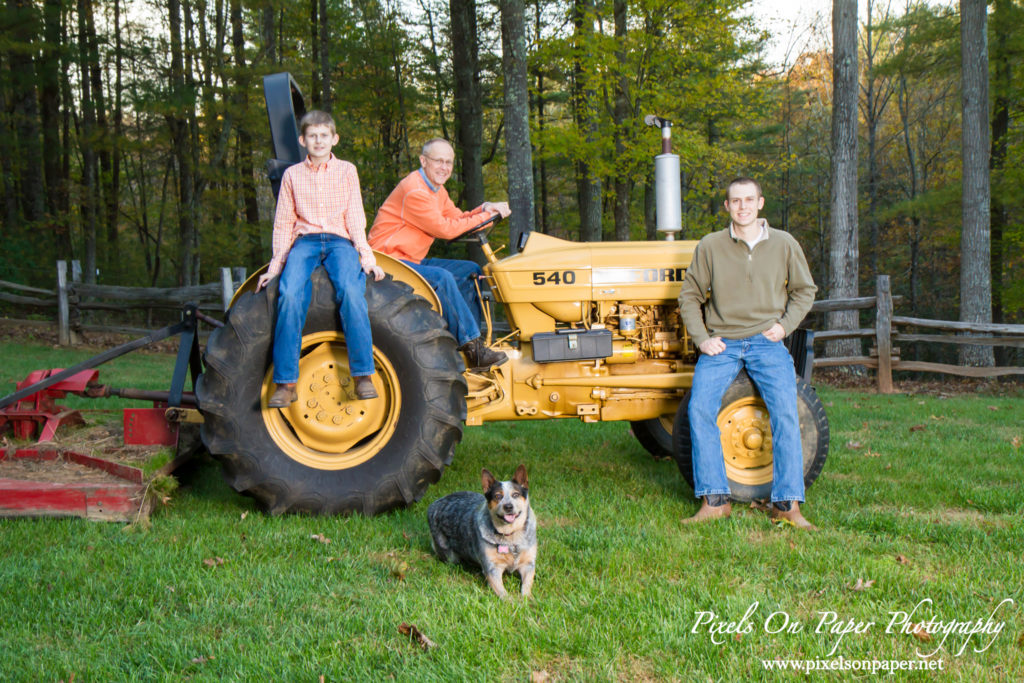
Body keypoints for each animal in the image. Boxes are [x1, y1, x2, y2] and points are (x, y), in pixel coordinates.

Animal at [423, 464, 536, 598]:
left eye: (515, 494)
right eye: (498, 496)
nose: (508, 506)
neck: (510, 536)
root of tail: (434, 505)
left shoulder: (528, 564)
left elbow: (526, 586)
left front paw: (528, 599)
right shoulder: (492, 568)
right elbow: (503, 594)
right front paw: (512, 601)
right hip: (449, 553)